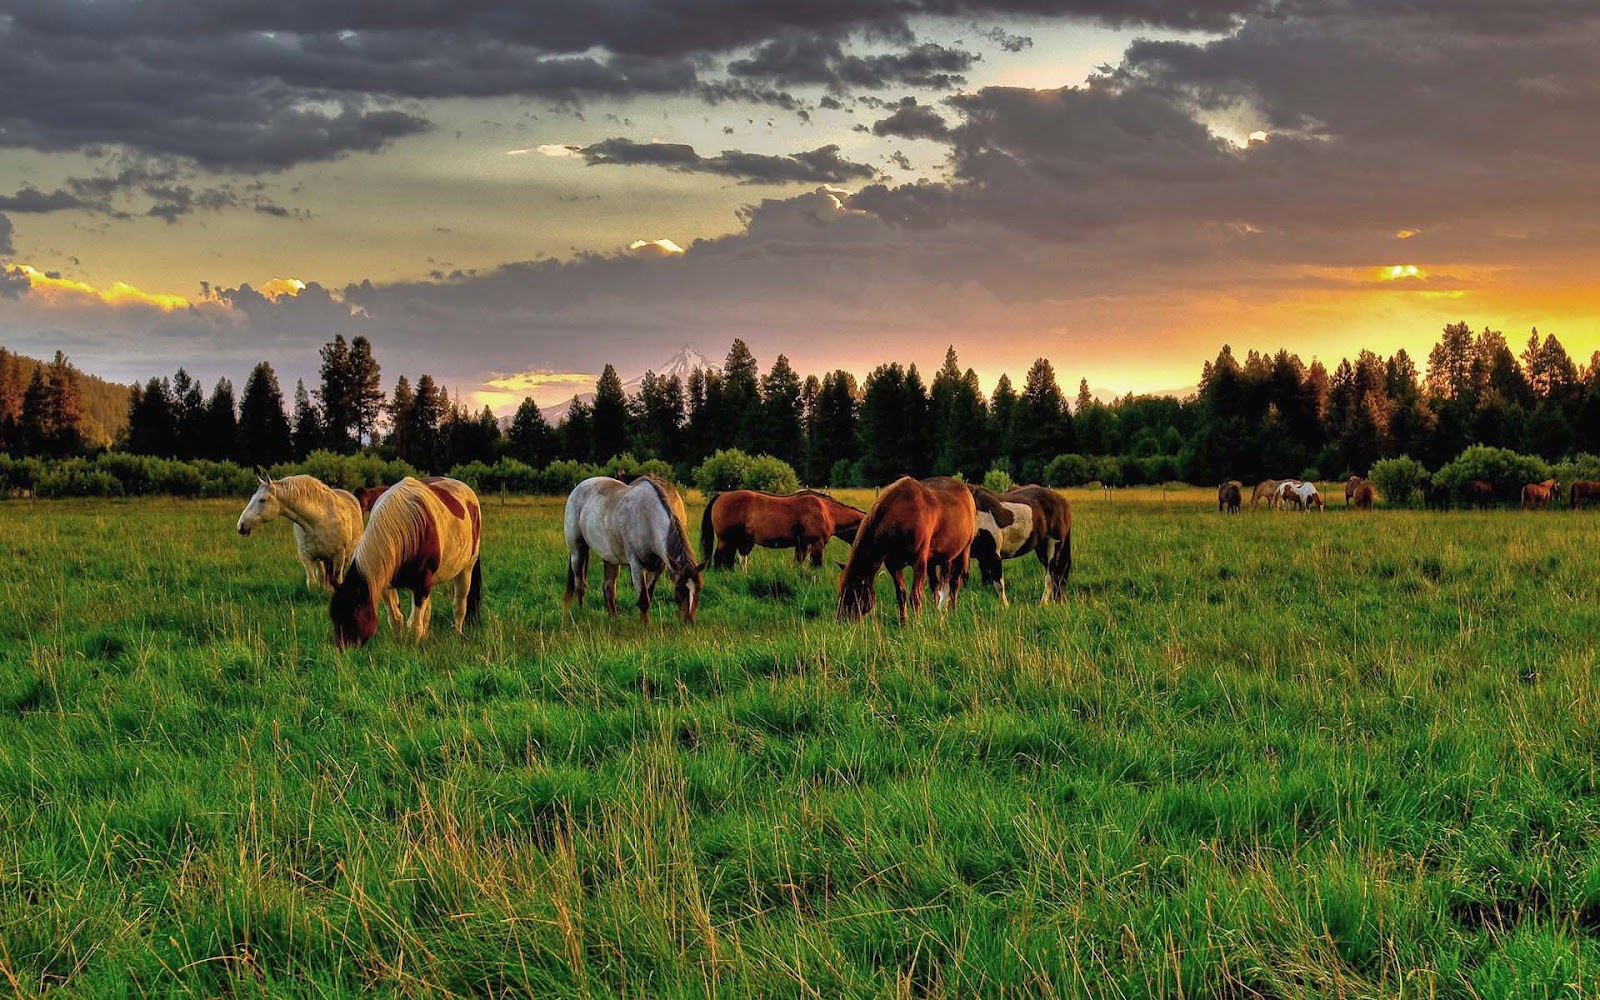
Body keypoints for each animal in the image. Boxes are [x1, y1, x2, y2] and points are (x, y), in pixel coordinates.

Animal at [330, 477, 482, 647]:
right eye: (334, 618)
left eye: (352, 616)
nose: (343, 649)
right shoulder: (387, 582)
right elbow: (396, 618)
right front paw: (399, 644)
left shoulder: (422, 583)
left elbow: (414, 624)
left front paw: (414, 648)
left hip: (466, 570)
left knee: (459, 606)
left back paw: (457, 635)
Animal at [565, 476, 705, 624]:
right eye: (678, 588)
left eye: (699, 588)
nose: (689, 621)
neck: (649, 518)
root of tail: (578, 487)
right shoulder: (636, 564)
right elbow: (643, 599)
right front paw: (645, 626)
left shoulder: (658, 567)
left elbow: (648, 594)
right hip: (577, 550)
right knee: (580, 585)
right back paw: (582, 613)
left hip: (609, 556)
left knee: (608, 587)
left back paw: (614, 618)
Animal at [700, 489, 865, 569]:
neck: (826, 511)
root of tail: (721, 496)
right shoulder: (816, 544)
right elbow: (816, 565)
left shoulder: (801, 546)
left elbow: (798, 564)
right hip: (726, 540)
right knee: (719, 559)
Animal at [838, 476, 977, 624]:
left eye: (851, 590)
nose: (840, 621)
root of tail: (966, 490)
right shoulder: (893, 565)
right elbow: (901, 594)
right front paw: (904, 623)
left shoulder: (919, 562)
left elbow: (915, 595)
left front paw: (918, 623)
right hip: (934, 561)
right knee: (935, 585)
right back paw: (936, 612)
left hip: (963, 552)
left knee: (954, 585)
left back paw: (952, 613)